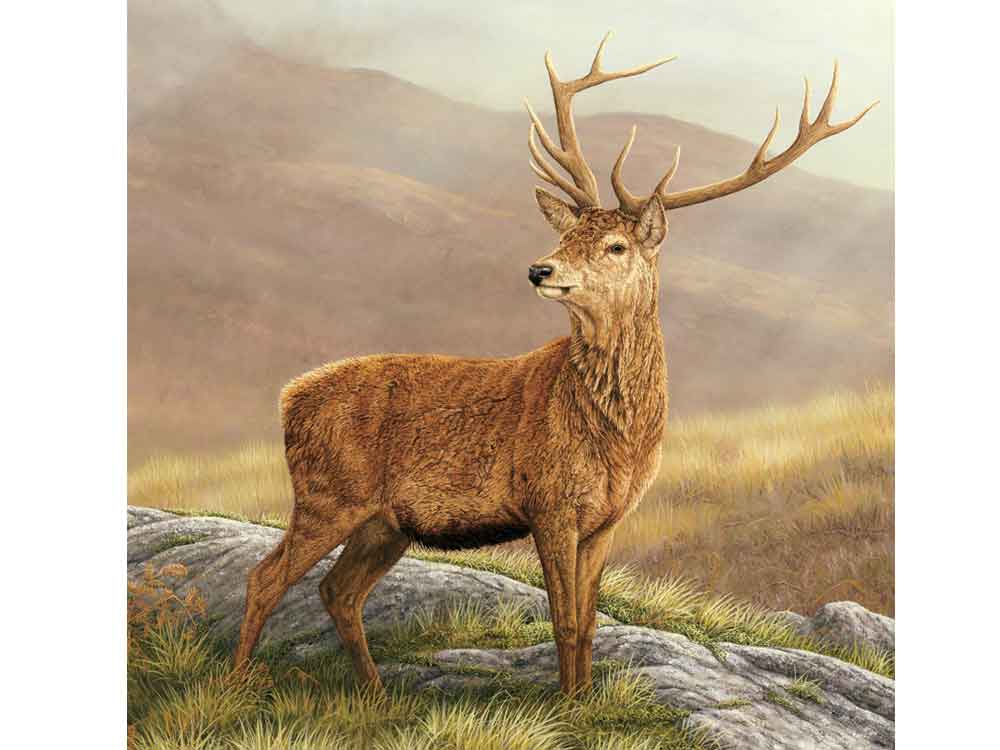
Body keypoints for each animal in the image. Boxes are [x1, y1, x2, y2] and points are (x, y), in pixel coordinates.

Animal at [233, 33, 877, 696]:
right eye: (568, 238)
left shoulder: (606, 519)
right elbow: (563, 620)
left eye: (615, 245)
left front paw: (585, 700)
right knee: (265, 577)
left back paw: (376, 695)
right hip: (328, 493)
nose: (539, 269)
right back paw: (234, 684)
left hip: (385, 522)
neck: (616, 438)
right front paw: (566, 704)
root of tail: (288, 396)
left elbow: (588, 621)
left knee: (337, 591)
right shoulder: (548, 503)